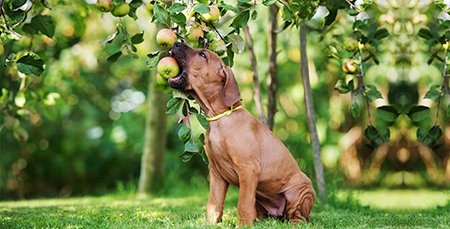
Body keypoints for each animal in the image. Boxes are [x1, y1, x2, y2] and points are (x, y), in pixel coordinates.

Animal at [167, 42, 314, 226]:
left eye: (202, 55)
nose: (176, 43)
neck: (220, 118)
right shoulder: (216, 173)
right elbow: (214, 202)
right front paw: (211, 223)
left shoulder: (248, 169)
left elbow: (243, 202)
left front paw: (243, 225)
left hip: (301, 188)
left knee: (299, 216)